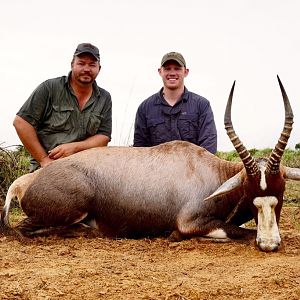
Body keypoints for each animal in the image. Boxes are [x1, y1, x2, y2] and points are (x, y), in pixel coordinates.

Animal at [1, 75, 298, 251]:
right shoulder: (190, 222)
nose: (269, 244)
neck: (211, 171)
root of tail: (24, 183)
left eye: (281, 191)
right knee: (25, 230)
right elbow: (239, 232)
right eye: (250, 191)